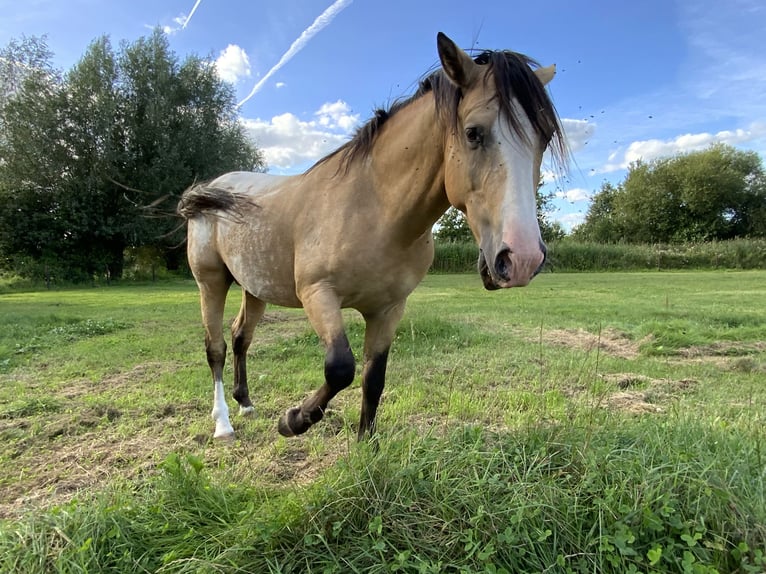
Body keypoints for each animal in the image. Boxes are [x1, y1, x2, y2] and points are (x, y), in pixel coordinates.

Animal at [177, 33, 568, 444]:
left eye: (544, 139)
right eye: (473, 132)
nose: (522, 258)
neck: (374, 208)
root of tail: (215, 186)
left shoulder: (388, 309)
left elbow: (373, 376)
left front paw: (366, 444)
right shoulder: (318, 295)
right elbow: (340, 368)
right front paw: (293, 420)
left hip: (255, 287)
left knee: (241, 337)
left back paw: (246, 403)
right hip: (211, 282)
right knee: (216, 347)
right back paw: (223, 423)